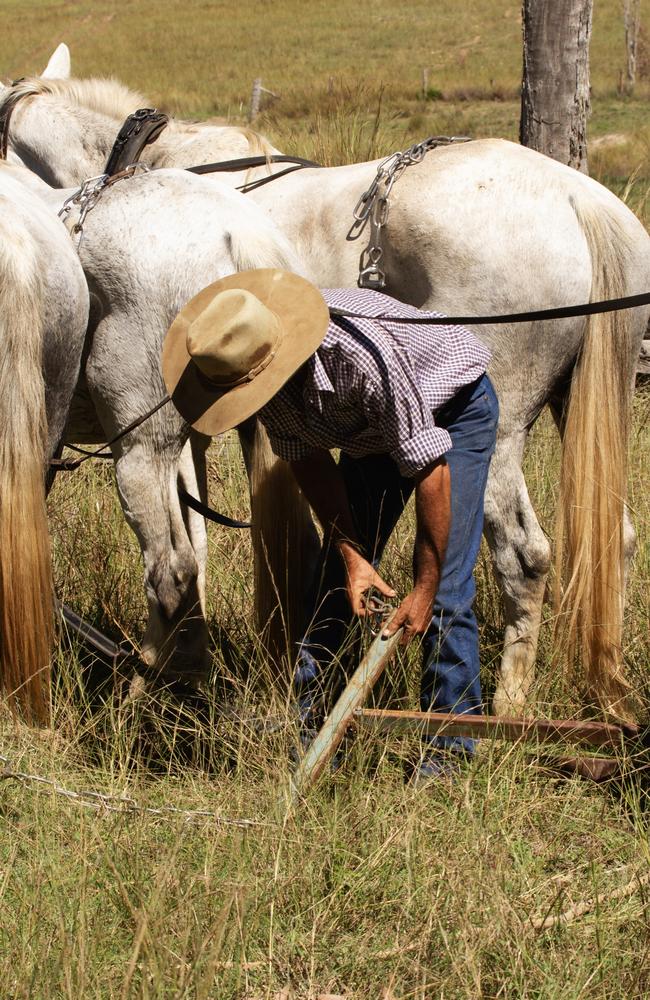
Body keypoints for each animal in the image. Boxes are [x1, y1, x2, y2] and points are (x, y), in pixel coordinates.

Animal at [2, 70, 644, 720]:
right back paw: (601, 684)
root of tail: (578, 199)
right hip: (577, 407)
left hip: (500, 433)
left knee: (524, 556)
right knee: (614, 539)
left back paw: (509, 702)